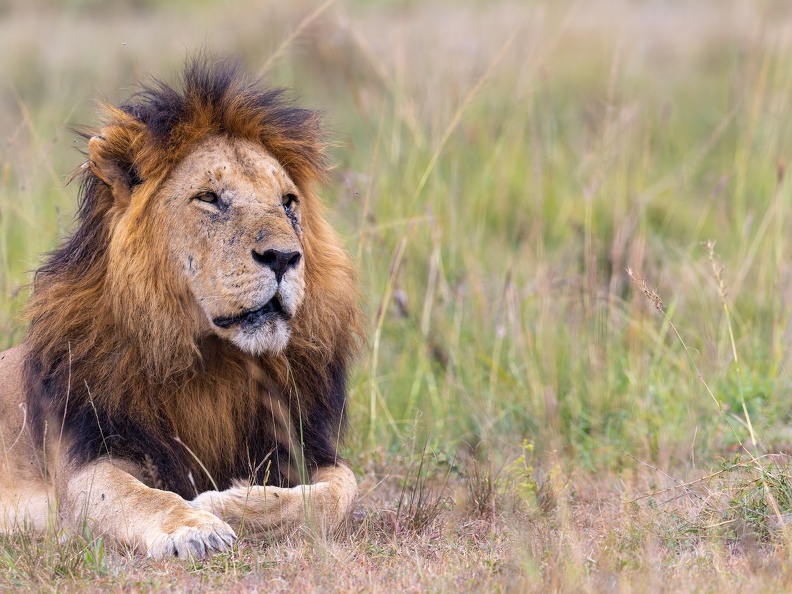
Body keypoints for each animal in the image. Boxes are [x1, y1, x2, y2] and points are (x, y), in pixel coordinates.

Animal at [0, 57, 363, 559]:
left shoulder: (305, 444)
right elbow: (142, 496)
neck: (214, 359)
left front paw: (228, 500)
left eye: (288, 202)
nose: (285, 257)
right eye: (209, 197)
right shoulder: (85, 461)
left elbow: (342, 492)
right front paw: (197, 525)